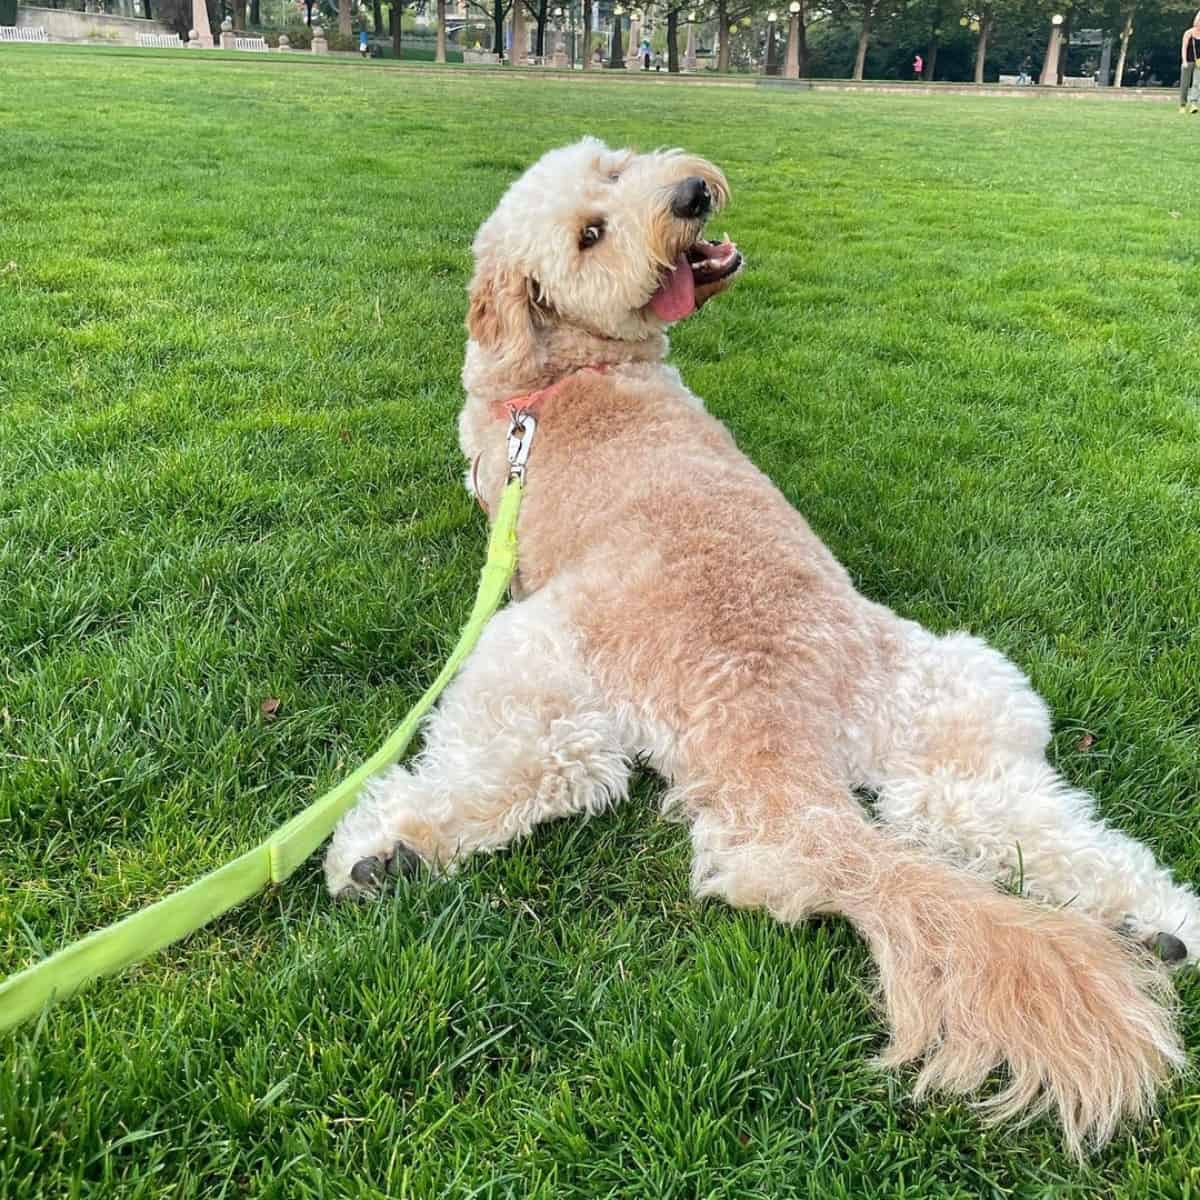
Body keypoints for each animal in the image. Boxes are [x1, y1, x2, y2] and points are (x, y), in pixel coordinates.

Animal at [324, 138, 1195, 1152]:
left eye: (615, 164)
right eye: (590, 234)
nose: (691, 193)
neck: (568, 371)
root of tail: (778, 745)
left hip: (525, 654)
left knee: (542, 768)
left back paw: (389, 850)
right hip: (956, 697)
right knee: (994, 815)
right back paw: (1157, 920)